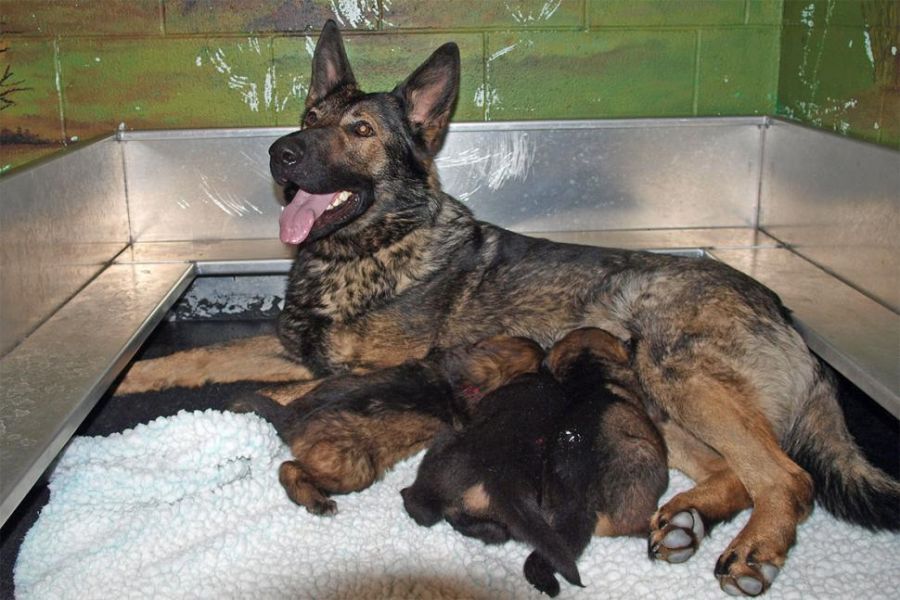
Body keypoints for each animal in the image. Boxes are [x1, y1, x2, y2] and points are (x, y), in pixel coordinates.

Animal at [234, 336, 540, 512]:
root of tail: (291, 417)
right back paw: (316, 501)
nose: (541, 344)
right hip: (352, 471)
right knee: (289, 469)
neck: (461, 375)